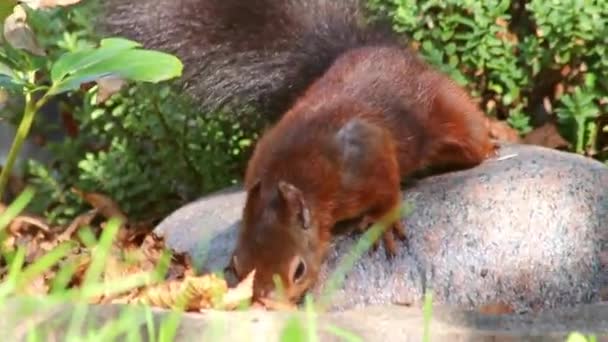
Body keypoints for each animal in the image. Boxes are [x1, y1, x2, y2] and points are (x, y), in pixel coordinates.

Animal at [102, 0, 504, 304]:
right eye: (235, 265)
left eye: (299, 270)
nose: (265, 302)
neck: (290, 173)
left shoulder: (366, 153)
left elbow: (388, 190)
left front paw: (382, 222)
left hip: (444, 113)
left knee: (470, 134)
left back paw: (495, 137)